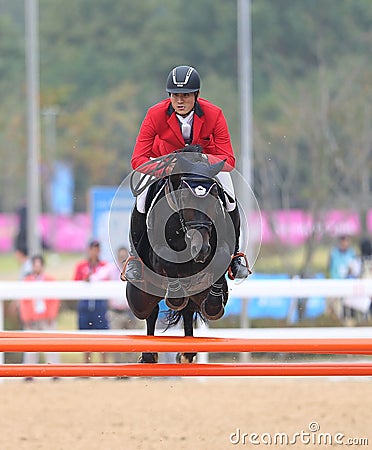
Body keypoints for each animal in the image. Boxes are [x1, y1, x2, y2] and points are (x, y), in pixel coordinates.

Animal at [125, 146, 235, 364]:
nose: (201, 249)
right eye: (184, 198)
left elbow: (221, 258)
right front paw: (175, 296)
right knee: (151, 312)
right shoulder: (158, 252)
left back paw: (187, 352)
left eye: (214, 198)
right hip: (139, 297)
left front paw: (213, 305)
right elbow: (167, 258)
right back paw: (149, 354)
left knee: (189, 311)